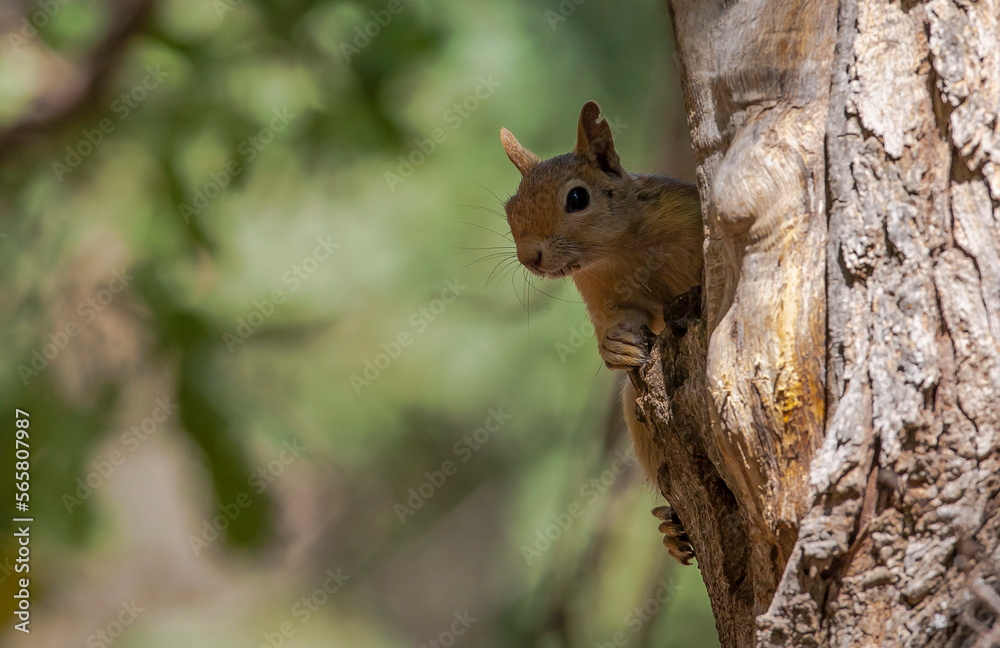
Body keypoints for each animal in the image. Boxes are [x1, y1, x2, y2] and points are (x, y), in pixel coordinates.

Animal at [500, 101, 703, 564]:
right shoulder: (601, 295)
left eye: (577, 198)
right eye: (509, 208)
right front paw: (615, 345)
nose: (530, 257)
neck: (619, 251)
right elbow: (617, 323)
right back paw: (676, 529)